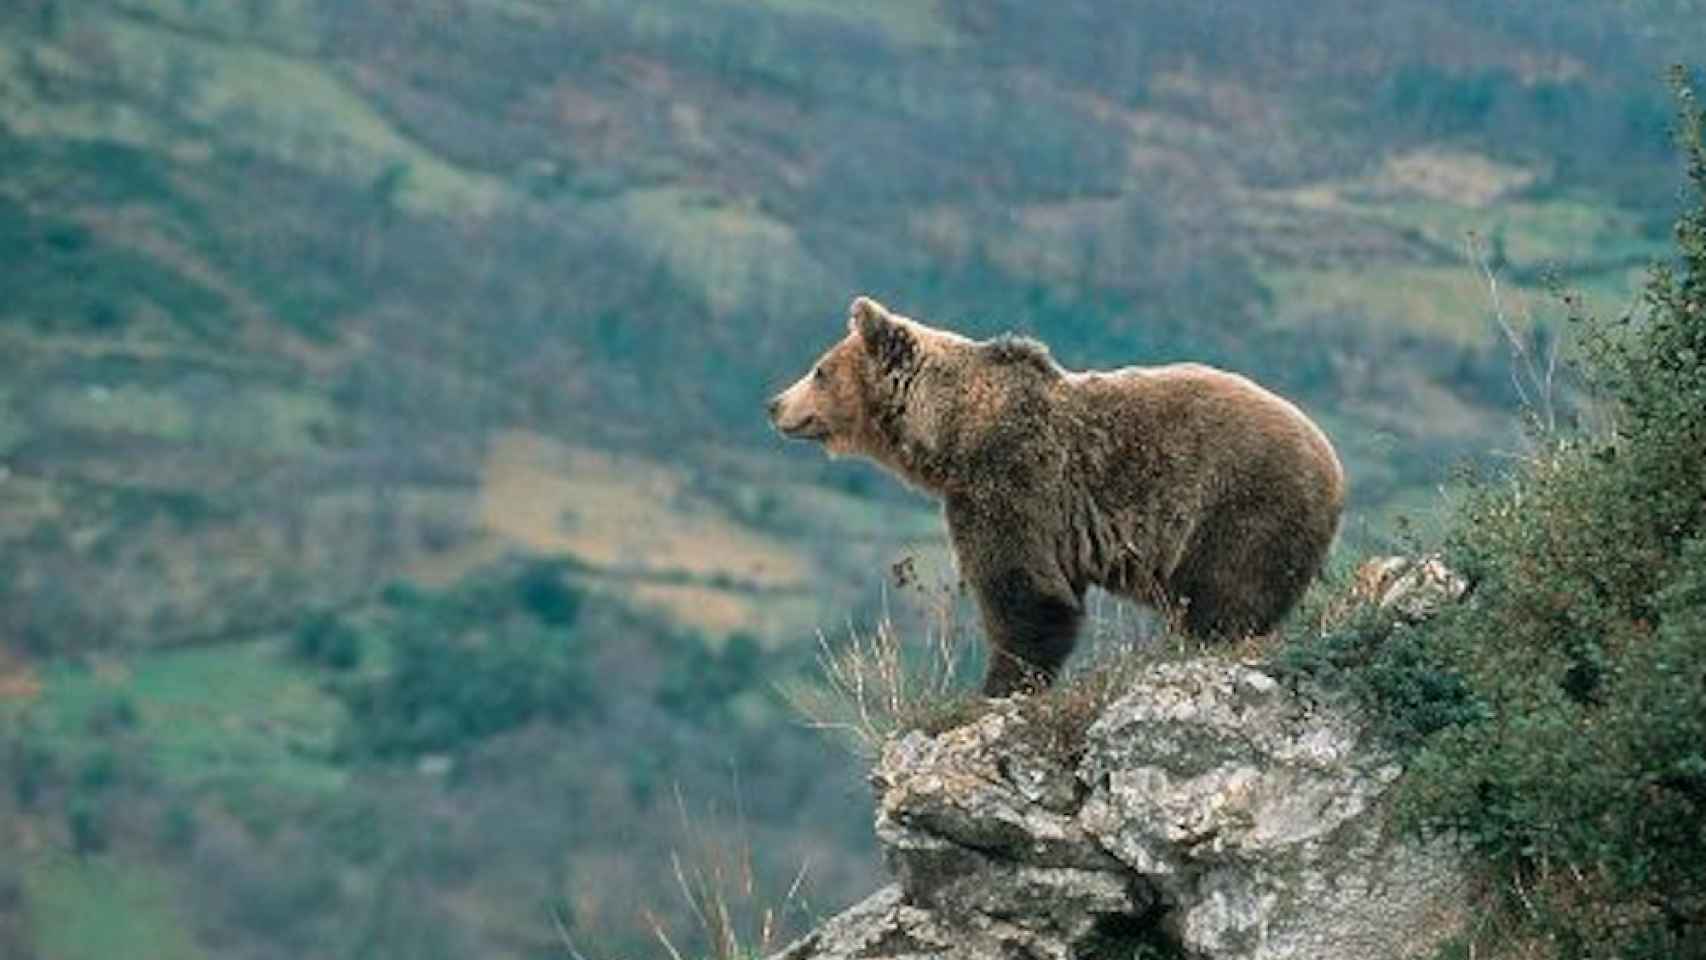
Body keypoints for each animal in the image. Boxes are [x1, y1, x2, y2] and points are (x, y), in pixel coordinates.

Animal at [767, 296, 1337, 695]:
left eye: (818, 370)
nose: (774, 404)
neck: (950, 433)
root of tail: (1332, 462)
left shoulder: (1011, 482)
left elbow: (1025, 592)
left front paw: (998, 686)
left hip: (1240, 506)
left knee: (1228, 597)